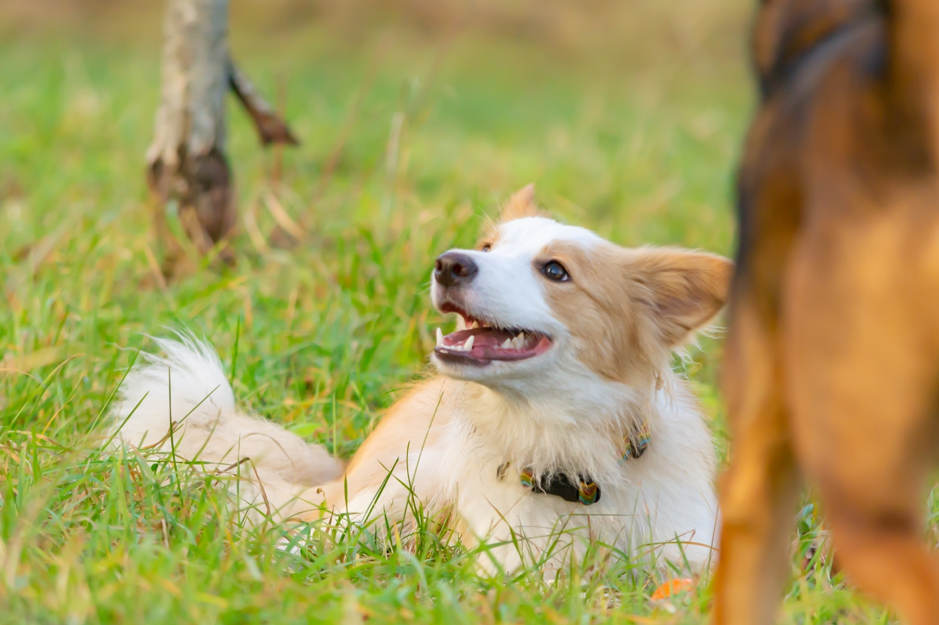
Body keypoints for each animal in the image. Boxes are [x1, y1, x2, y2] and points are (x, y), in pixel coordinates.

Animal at [108, 185, 728, 576]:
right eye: (487, 247)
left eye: (556, 271)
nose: (449, 262)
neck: (574, 462)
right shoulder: (510, 569)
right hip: (400, 483)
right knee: (308, 529)